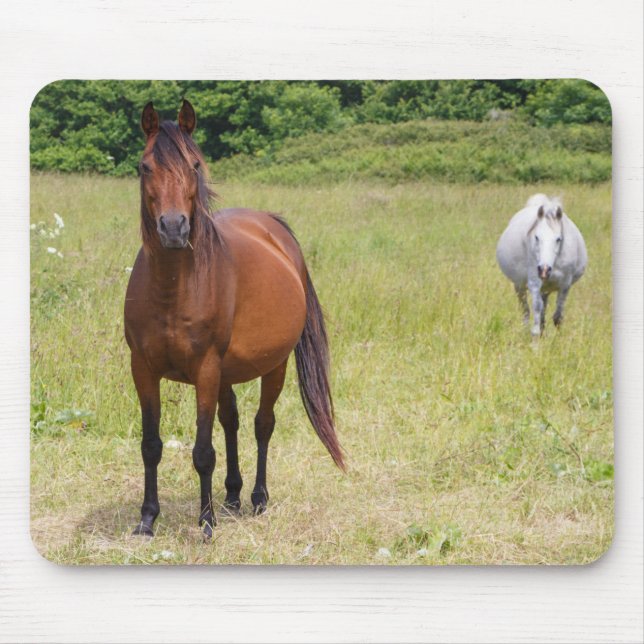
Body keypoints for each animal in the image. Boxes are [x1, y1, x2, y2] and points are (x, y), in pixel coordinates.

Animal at [124, 100, 344, 539]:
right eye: (144, 166)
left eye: (194, 164)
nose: (173, 228)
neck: (173, 289)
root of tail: (274, 228)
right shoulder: (143, 368)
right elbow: (151, 445)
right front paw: (147, 519)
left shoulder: (205, 369)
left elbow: (202, 451)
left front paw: (205, 523)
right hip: (225, 373)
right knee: (232, 422)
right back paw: (231, 495)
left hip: (272, 366)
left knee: (262, 424)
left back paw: (256, 498)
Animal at [496, 194, 587, 337]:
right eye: (536, 237)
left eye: (558, 239)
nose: (544, 270)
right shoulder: (534, 283)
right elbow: (536, 312)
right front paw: (535, 338)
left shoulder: (565, 285)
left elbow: (557, 316)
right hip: (519, 286)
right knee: (526, 311)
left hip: (545, 289)